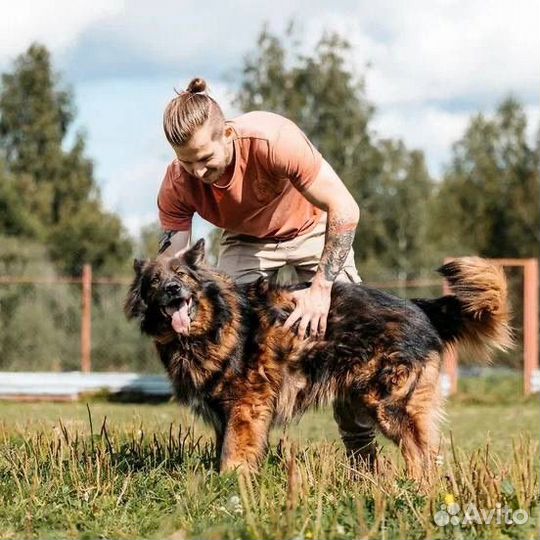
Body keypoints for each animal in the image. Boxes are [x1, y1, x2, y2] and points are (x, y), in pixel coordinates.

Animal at [125, 239, 510, 476]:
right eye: (154, 281)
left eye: (182, 275)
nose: (173, 290)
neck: (215, 324)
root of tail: (417, 306)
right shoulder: (225, 411)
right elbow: (227, 447)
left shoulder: (246, 406)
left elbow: (234, 452)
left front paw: (232, 483)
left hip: (390, 404)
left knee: (419, 452)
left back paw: (416, 490)